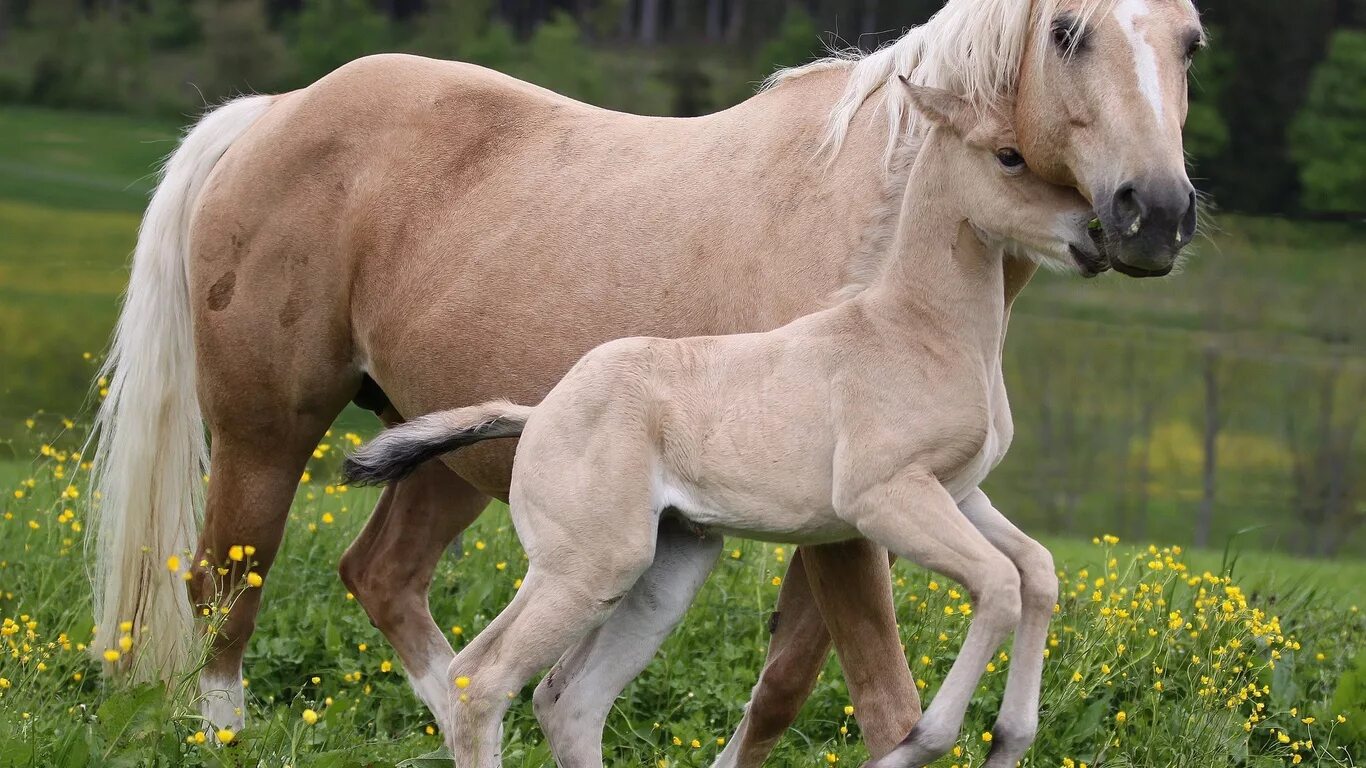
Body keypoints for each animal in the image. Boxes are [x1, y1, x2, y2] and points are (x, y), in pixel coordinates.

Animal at [352, 82, 1098, 765]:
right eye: (1009, 156)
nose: (1096, 235)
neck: (917, 330)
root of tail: (537, 413)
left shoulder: (959, 493)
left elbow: (1037, 571)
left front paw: (1010, 738)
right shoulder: (885, 498)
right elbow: (999, 586)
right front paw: (923, 742)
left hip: (664, 570)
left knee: (568, 698)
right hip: (585, 567)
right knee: (482, 679)